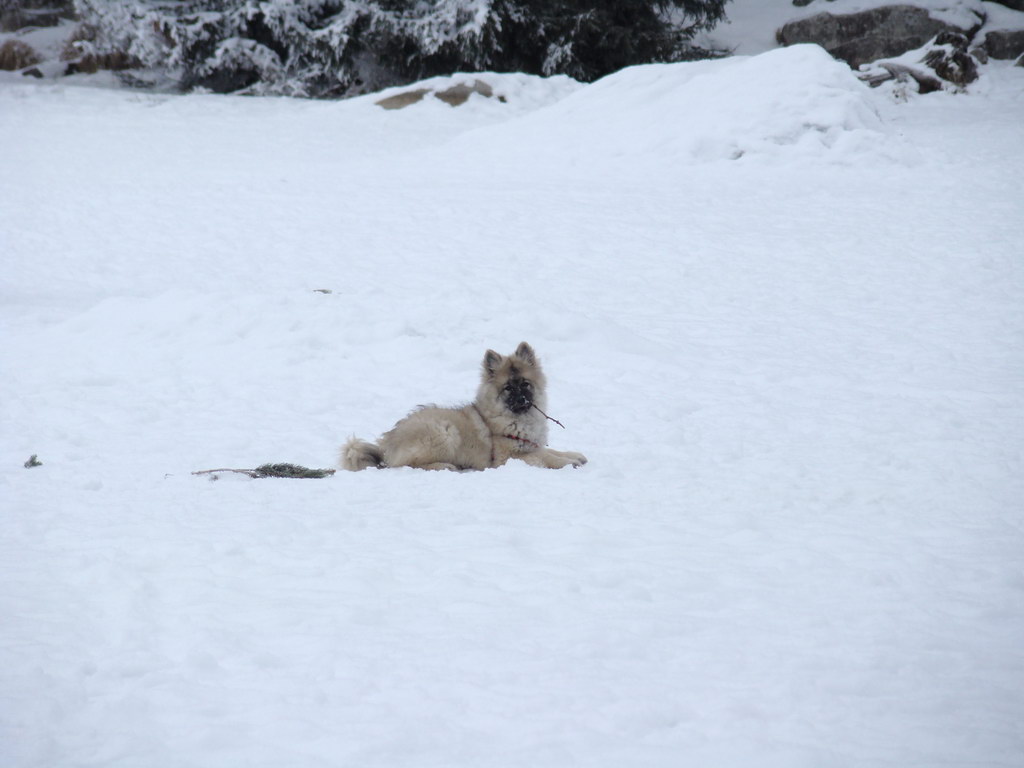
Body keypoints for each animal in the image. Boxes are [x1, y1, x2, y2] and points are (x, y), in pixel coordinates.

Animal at [339, 346, 589, 473]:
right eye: (508, 388)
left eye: (525, 384)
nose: (521, 399)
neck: (517, 419)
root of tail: (386, 446)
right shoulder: (509, 456)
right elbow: (545, 456)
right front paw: (568, 463)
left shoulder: (530, 444)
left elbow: (553, 450)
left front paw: (573, 455)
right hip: (444, 431)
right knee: (407, 465)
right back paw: (445, 466)